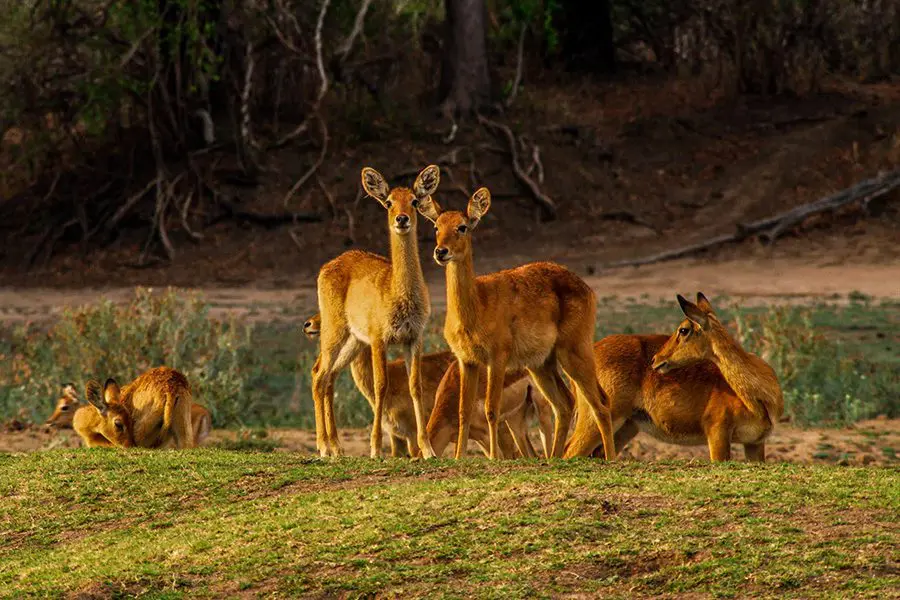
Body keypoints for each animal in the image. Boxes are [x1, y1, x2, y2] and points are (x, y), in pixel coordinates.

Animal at [314, 166, 442, 458]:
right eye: (389, 202)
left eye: (414, 201)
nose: (401, 219)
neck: (399, 294)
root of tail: (326, 266)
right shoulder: (378, 338)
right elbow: (381, 385)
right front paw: (375, 448)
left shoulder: (413, 338)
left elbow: (415, 386)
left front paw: (427, 449)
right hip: (334, 331)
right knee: (318, 374)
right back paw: (323, 447)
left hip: (353, 341)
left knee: (328, 376)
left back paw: (337, 447)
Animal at [418, 188, 616, 460]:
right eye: (436, 226)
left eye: (462, 227)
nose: (441, 252)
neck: (476, 306)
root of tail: (585, 287)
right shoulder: (466, 361)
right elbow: (463, 411)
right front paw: (459, 458)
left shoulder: (497, 358)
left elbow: (491, 409)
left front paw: (494, 458)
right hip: (541, 364)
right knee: (565, 404)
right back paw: (554, 458)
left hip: (574, 353)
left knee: (601, 403)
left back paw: (611, 458)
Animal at [568, 292, 784, 462]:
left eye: (683, 329)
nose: (656, 359)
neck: (757, 401)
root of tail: (593, 349)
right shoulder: (717, 433)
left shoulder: (755, 443)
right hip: (598, 419)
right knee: (569, 451)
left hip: (626, 427)